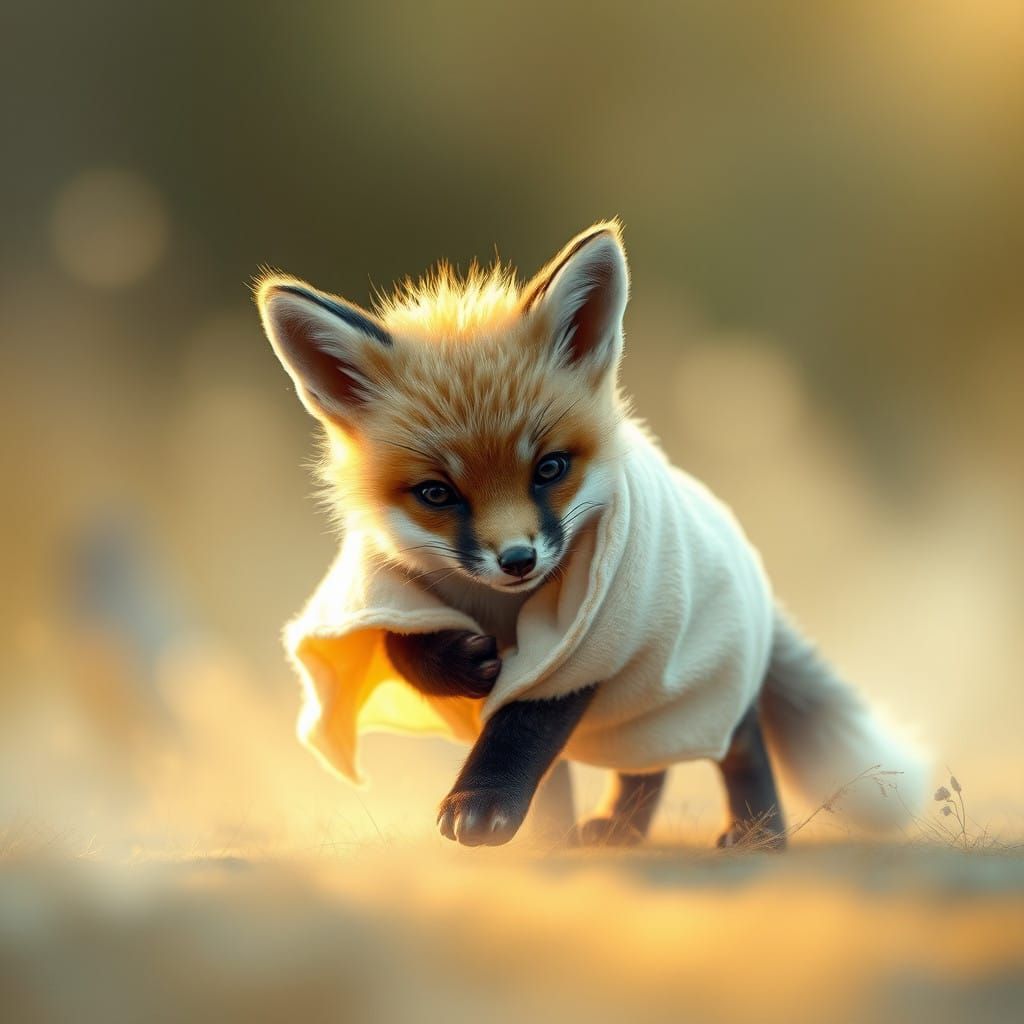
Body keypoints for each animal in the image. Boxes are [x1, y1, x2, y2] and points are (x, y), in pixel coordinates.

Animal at [255, 221, 927, 848]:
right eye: (437, 493)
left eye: (549, 468)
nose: (518, 560)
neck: (500, 610)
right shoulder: (391, 586)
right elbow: (402, 648)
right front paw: (461, 668)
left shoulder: (583, 635)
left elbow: (523, 723)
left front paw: (481, 802)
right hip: (641, 705)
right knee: (644, 766)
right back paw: (599, 830)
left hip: (691, 672)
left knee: (740, 742)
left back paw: (757, 834)